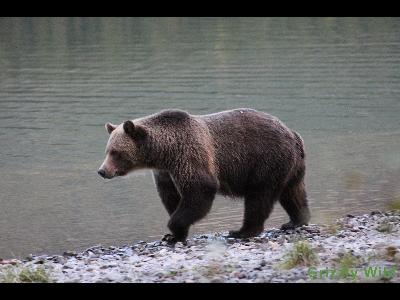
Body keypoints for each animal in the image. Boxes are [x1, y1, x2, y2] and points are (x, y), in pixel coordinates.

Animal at [98, 108, 310, 244]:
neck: (163, 153)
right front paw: (174, 235)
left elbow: (200, 190)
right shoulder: (165, 173)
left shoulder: (189, 154)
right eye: (107, 150)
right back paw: (295, 221)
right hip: (290, 166)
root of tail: (292, 133)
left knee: (259, 197)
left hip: (265, 160)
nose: (102, 171)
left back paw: (241, 231)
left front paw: (173, 228)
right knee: (293, 192)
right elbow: (171, 197)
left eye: (115, 152)